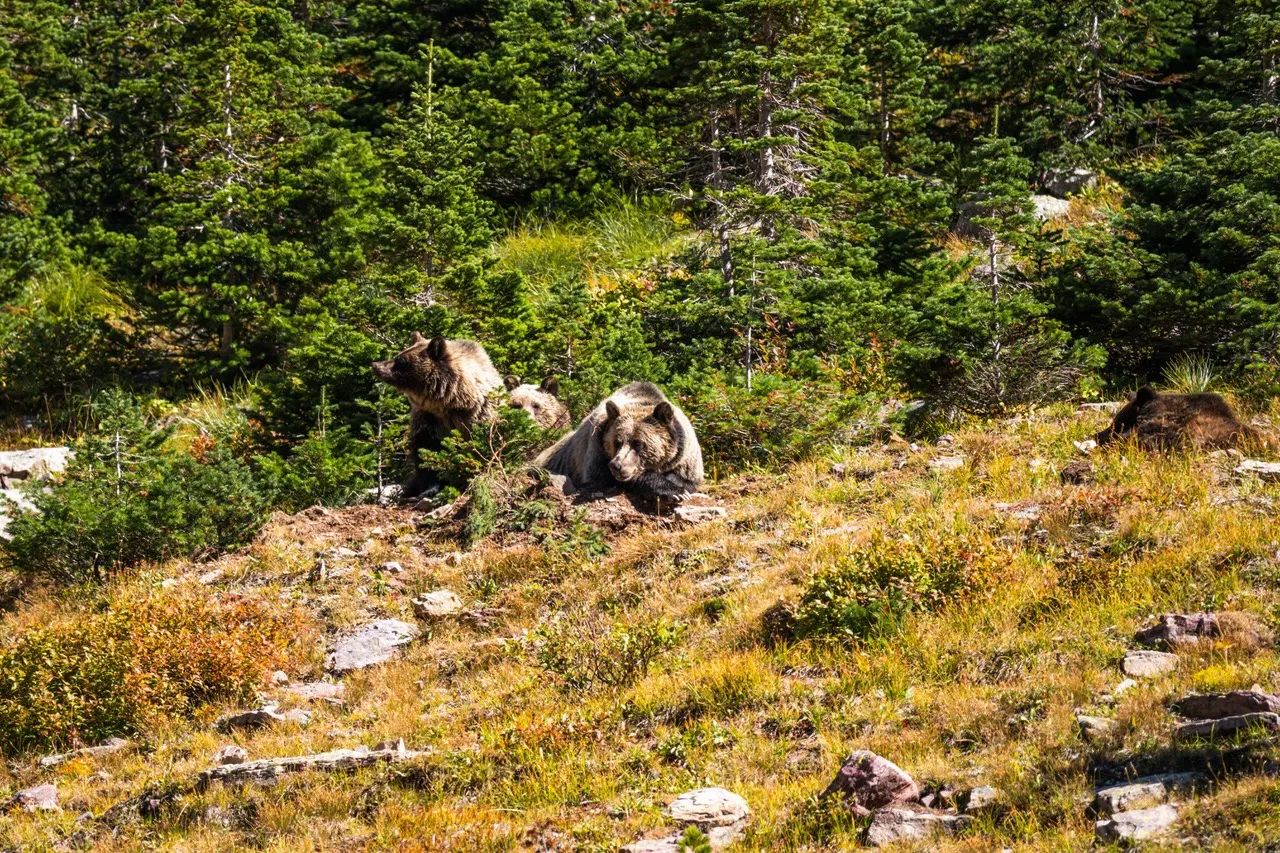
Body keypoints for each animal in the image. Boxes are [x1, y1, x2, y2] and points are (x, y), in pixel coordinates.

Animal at [371, 333, 504, 498]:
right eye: (398, 355)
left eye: (401, 360)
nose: (375, 365)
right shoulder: (427, 420)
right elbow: (426, 454)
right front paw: (430, 488)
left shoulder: (477, 416)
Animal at [534, 381, 703, 501]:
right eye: (617, 442)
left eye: (638, 443)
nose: (617, 465)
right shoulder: (596, 449)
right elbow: (601, 479)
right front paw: (673, 491)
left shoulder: (685, 456)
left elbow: (687, 479)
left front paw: (678, 490)